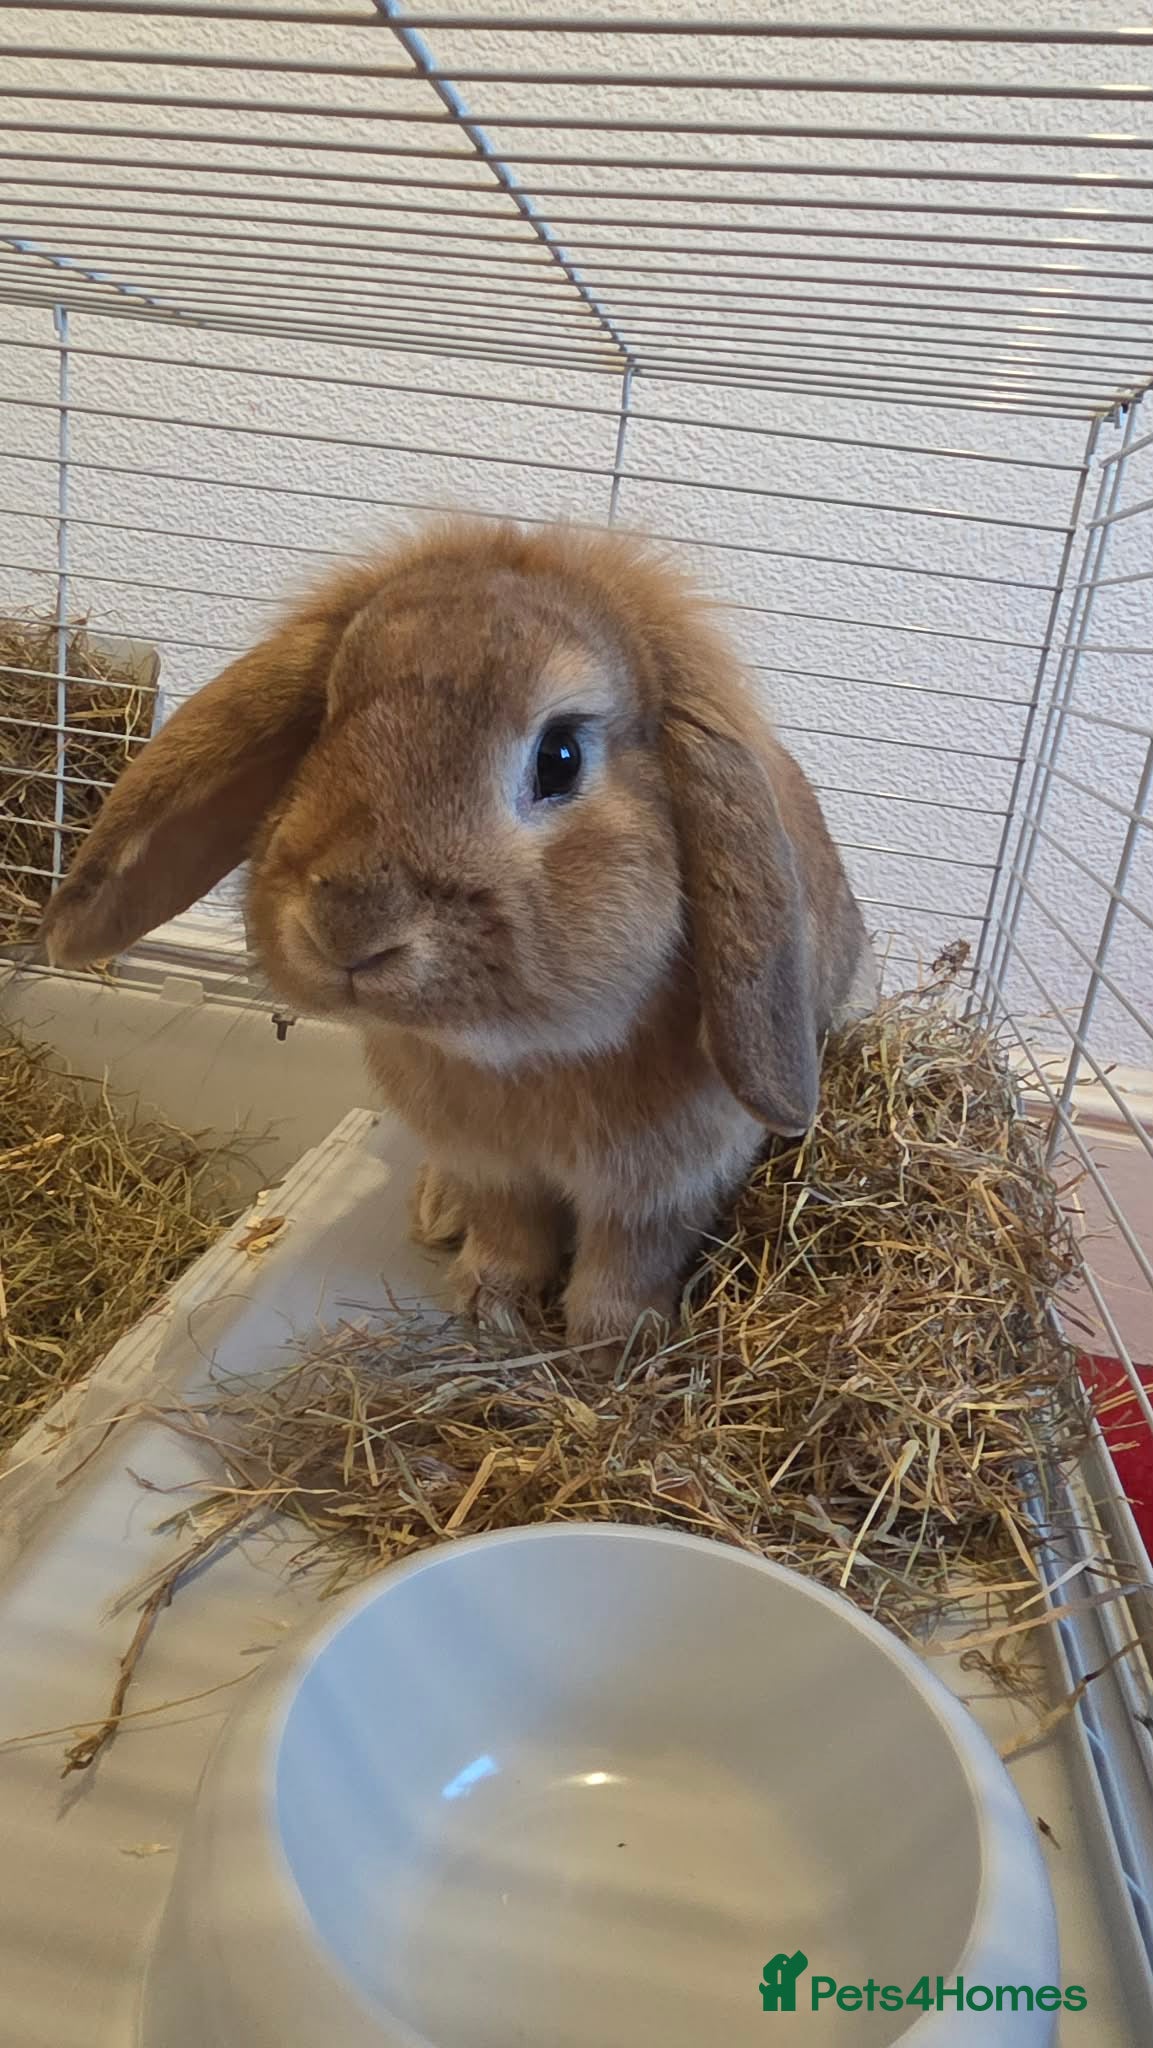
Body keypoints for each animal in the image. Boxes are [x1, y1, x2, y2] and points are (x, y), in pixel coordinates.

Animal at [40, 519, 878, 1353]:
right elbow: (508, 1230)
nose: (348, 927)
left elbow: (627, 1256)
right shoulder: (488, 1164)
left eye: (560, 756)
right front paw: (492, 1305)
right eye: (325, 721)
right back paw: (436, 1213)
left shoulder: (663, 1182)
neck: (517, 1058)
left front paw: (609, 1346)